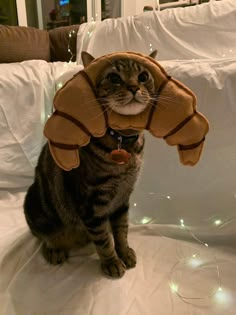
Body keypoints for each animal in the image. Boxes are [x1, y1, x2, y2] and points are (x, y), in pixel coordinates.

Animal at [23, 50, 157, 278]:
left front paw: (124, 252)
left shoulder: (122, 199)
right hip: (34, 203)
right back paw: (55, 249)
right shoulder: (91, 203)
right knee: (44, 237)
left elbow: (121, 230)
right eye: (114, 78)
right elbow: (103, 240)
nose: (133, 87)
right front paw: (112, 262)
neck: (125, 142)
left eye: (143, 77)